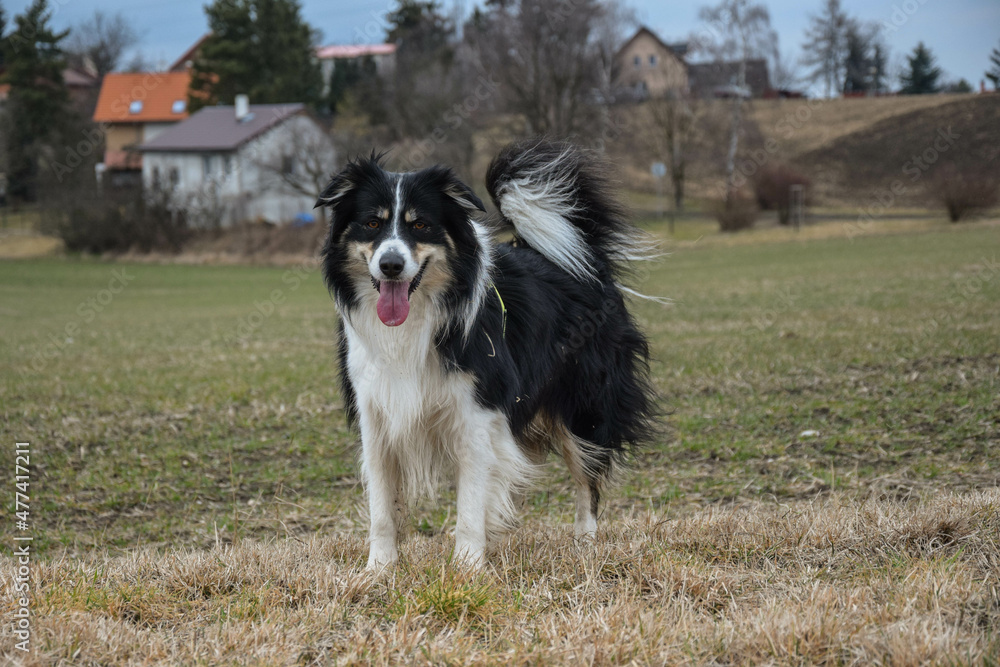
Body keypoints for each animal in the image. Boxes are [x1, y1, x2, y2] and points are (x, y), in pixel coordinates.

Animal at [318, 141, 656, 568]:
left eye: (421, 225)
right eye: (372, 224)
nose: (390, 265)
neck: (423, 314)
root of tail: (584, 258)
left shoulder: (477, 412)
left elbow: (470, 500)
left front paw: (467, 567)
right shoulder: (376, 411)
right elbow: (381, 504)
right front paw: (379, 568)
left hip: (583, 404)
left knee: (587, 479)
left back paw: (585, 544)